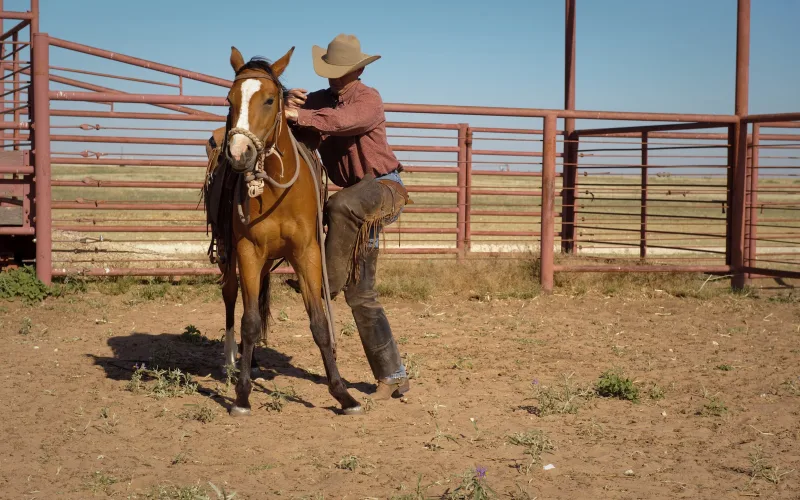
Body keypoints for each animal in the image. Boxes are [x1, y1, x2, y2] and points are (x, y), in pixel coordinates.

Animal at [204, 46, 363, 417]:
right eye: (229, 99)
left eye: (270, 99)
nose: (239, 154)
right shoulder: (247, 251)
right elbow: (248, 321)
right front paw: (242, 395)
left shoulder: (307, 253)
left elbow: (319, 322)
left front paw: (342, 394)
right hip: (228, 253)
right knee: (231, 298)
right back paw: (232, 362)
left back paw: (252, 362)